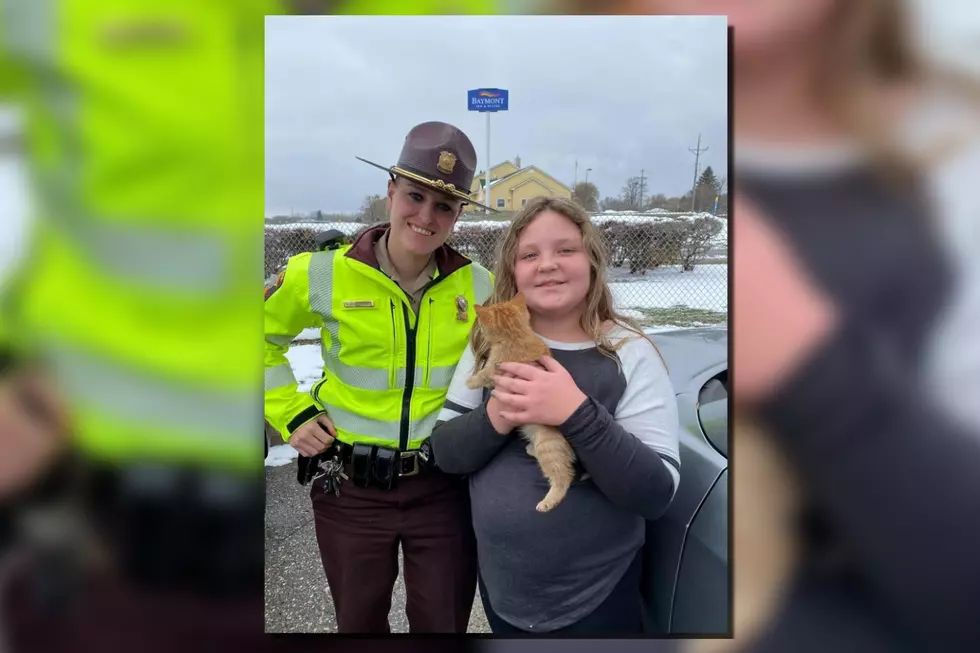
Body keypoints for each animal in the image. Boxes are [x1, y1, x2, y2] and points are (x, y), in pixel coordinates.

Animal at [466, 292, 576, 512]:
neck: (515, 333)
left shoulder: (495, 367)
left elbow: (483, 375)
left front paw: (470, 381)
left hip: (548, 447)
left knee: (564, 476)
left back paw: (549, 501)